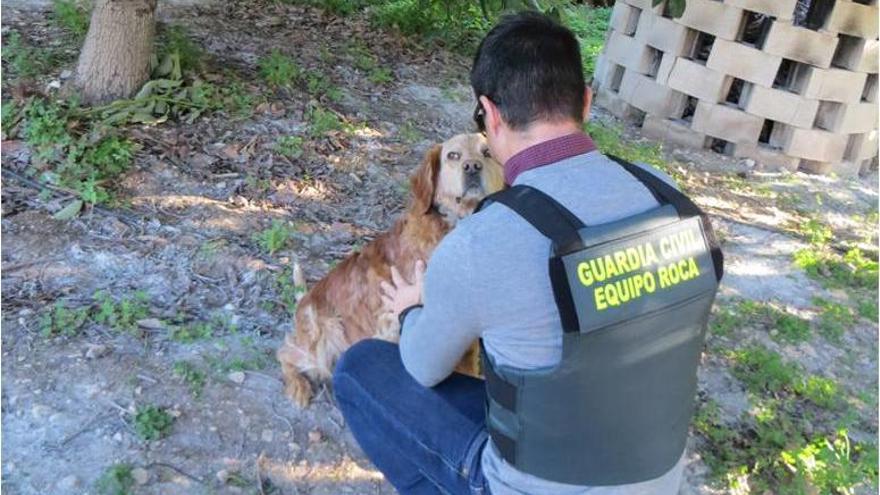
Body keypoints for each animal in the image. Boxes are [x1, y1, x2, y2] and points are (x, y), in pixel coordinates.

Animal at [278, 133, 506, 406]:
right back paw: (298, 385)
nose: (472, 167)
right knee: (285, 352)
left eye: (487, 153)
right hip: (324, 338)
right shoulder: (394, 324)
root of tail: (303, 301)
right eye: (453, 155)